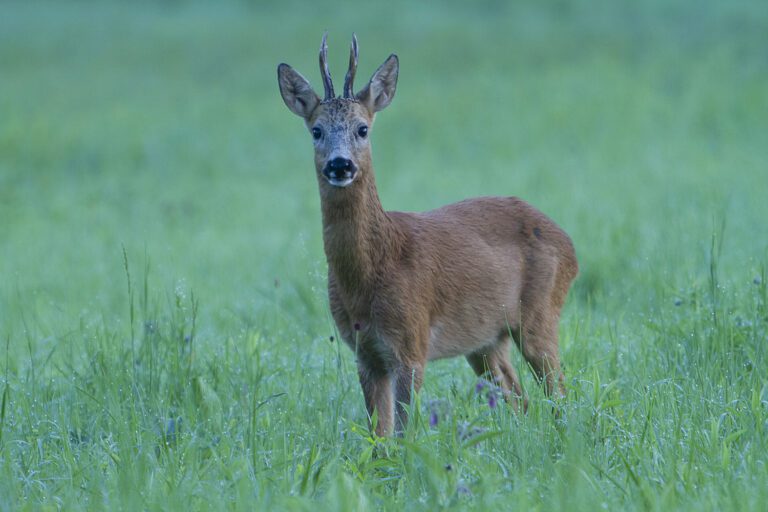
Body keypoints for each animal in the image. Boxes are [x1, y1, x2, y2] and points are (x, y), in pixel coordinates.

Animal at [276, 35, 576, 436]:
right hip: (485, 340)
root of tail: (569, 245)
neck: (371, 272)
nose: (340, 165)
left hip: (541, 312)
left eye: (363, 128)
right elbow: (379, 435)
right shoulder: (365, 353)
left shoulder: (412, 343)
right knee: (519, 398)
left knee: (558, 392)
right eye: (316, 130)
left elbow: (404, 432)